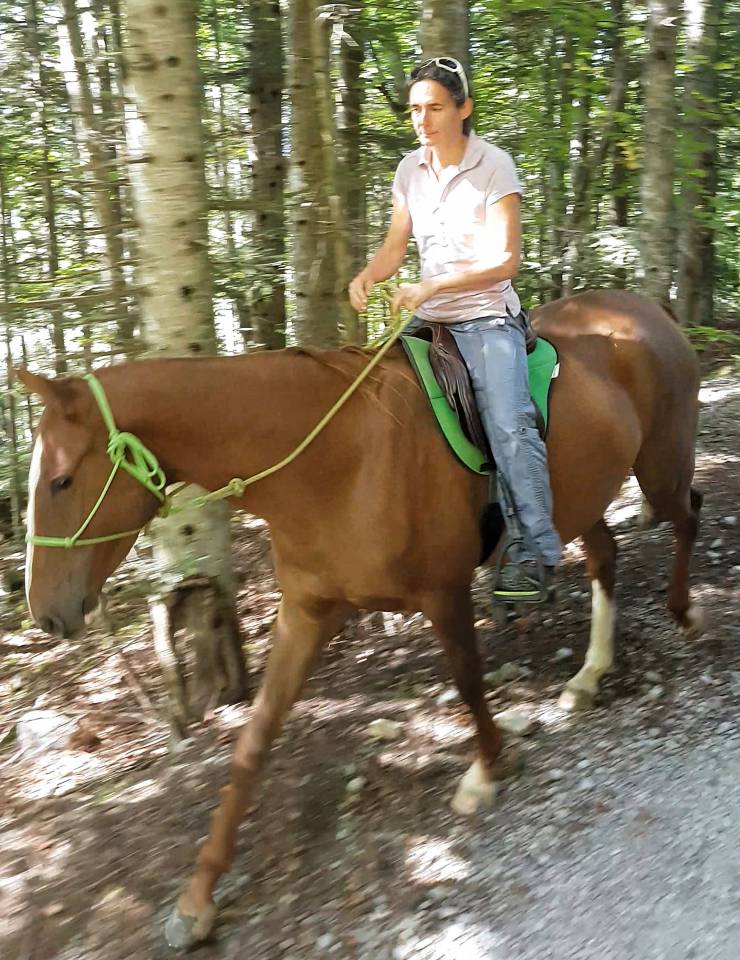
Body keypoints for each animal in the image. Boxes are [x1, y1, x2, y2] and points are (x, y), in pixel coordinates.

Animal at [18, 290, 703, 947]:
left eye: (61, 481)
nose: (45, 615)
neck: (333, 463)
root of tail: (650, 309)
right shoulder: (306, 613)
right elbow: (253, 744)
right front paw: (198, 897)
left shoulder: (443, 592)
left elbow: (467, 681)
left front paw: (487, 771)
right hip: (585, 496)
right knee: (607, 557)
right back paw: (588, 677)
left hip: (658, 467)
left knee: (688, 513)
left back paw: (683, 613)